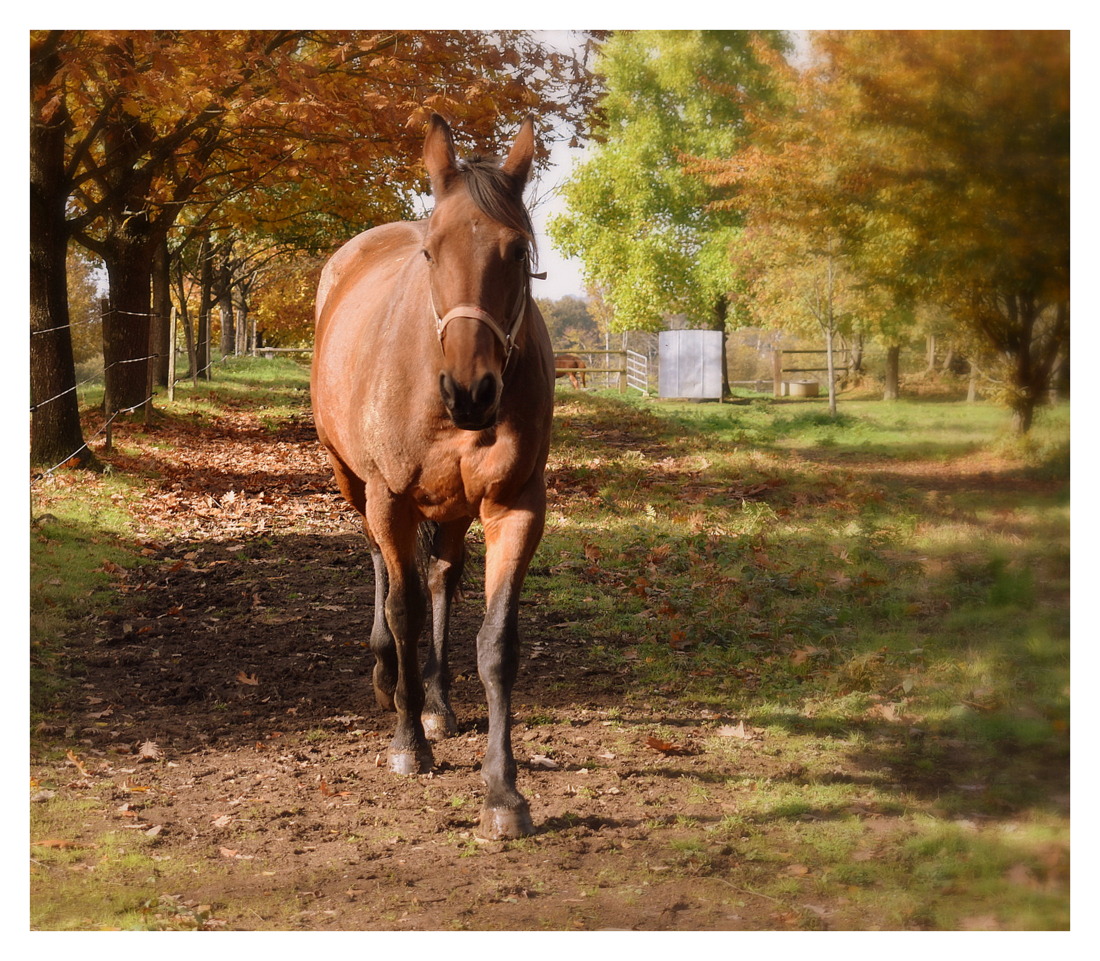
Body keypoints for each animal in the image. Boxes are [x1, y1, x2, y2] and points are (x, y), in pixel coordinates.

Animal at [310, 114, 554, 840]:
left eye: (516, 249)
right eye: (430, 252)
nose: (470, 391)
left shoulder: (515, 505)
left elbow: (496, 641)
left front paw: (503, 792)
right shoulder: (389, 496)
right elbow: (404, 605)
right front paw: (405, 743)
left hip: (451, 506)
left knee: (444, 576)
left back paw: (438, 704)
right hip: (354, 483)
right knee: (382, 567)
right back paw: (391, 678)